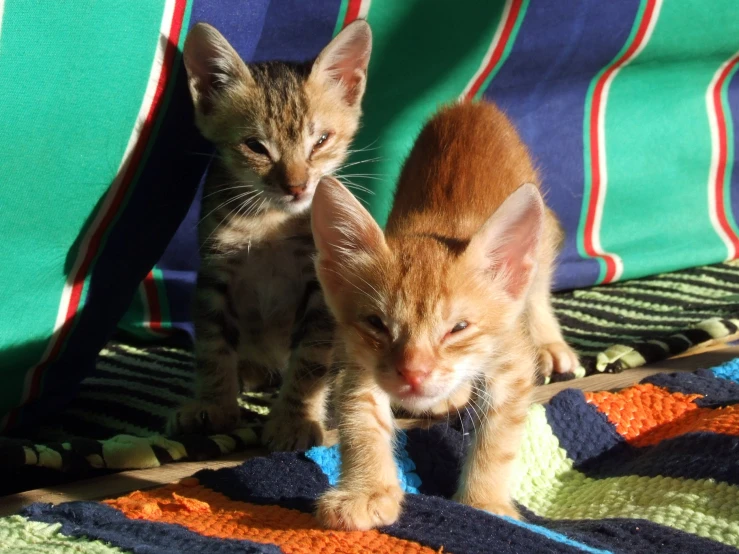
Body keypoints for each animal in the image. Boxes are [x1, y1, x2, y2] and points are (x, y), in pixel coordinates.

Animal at [171, 21, 372, 450]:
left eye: (321, 141)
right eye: (255, 146)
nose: (297, 187)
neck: (270, 223)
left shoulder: (318, 287)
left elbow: (311, 359)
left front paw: (295, 419)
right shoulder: (215, 271)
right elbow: (212, 343)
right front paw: (213, 404)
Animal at [310, 101, 580, 528]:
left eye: (458, 329)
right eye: (377, 324)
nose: (414, 374)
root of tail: (472, 105)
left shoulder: (511, 359)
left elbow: (499, 434)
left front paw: (485, 501)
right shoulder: (358, 358)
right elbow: (360, 417)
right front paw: (368, 491)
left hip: (542, 241)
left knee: (537, 287)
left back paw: (550, 343)